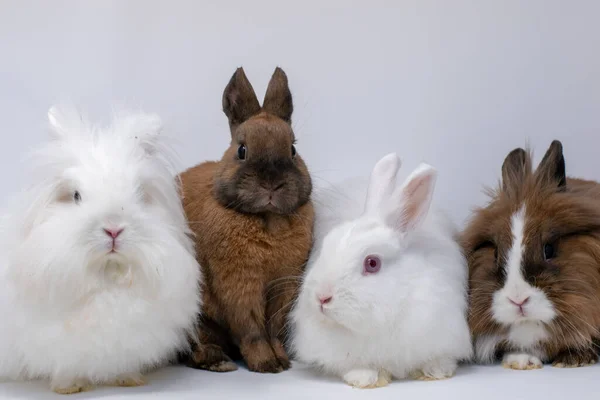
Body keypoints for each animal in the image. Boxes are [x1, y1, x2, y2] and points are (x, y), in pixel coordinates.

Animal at [0, 105, 202, 394]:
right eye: (75, 196)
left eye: (139, 194)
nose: (113, 229)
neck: (108, 276)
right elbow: (66, 367)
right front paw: (69, 387)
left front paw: (128, 380)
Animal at [179, 67, 314, 374]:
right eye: (242, 150)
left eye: (293, 150)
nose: (272, 184)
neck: (268, 220)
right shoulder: (239, 285)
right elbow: (251, 329)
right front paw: (266, 364)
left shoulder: (284, 285)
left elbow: (274, 328)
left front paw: (282, 362)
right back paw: (217, 361)